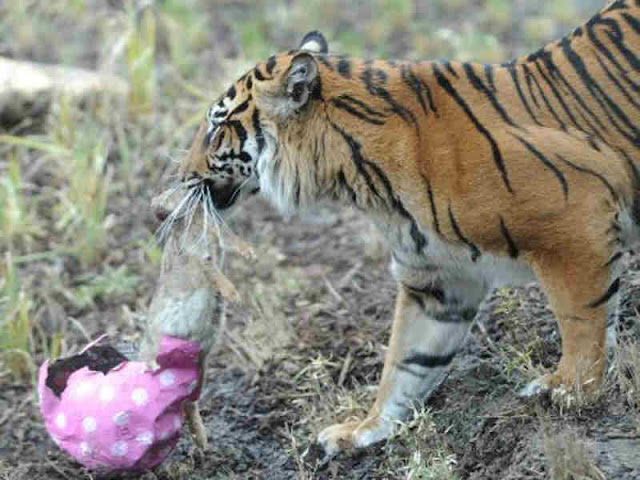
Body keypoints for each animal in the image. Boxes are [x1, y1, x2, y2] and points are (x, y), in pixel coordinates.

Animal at [162, 0, 640, 458]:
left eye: (217, 128)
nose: (181, 175)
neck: (361, 177)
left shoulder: (573, 224)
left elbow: (582, 320)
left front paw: (571, 391)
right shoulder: (438, 280)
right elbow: (407, 363)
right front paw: (364, 430)